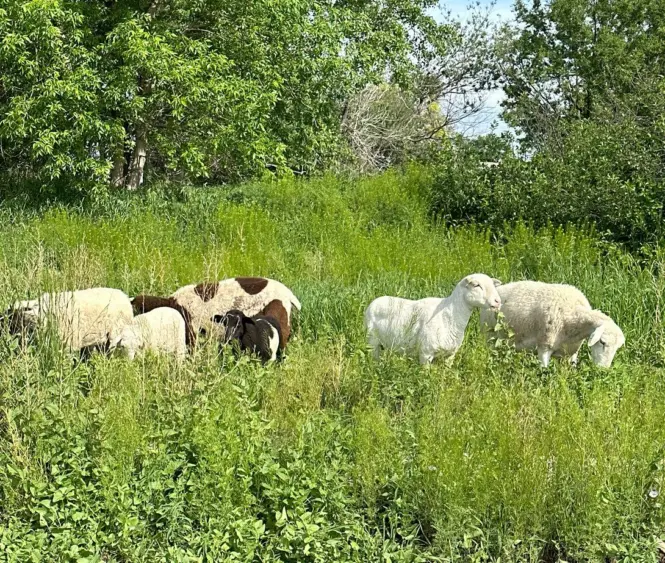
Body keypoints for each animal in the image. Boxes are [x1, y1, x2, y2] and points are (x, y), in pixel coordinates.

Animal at [365, 274, 502, 365]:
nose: (497, 301)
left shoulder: (450, 355)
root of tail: (374, 302)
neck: (450, 317)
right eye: (477, 285)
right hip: (372, 341)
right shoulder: (426, 353)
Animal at [479, 281, 625, 367]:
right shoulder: (544, 346)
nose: (603, 369)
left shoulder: (570, 353)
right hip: (489, 335)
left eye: (617, 348)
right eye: (602, 342)